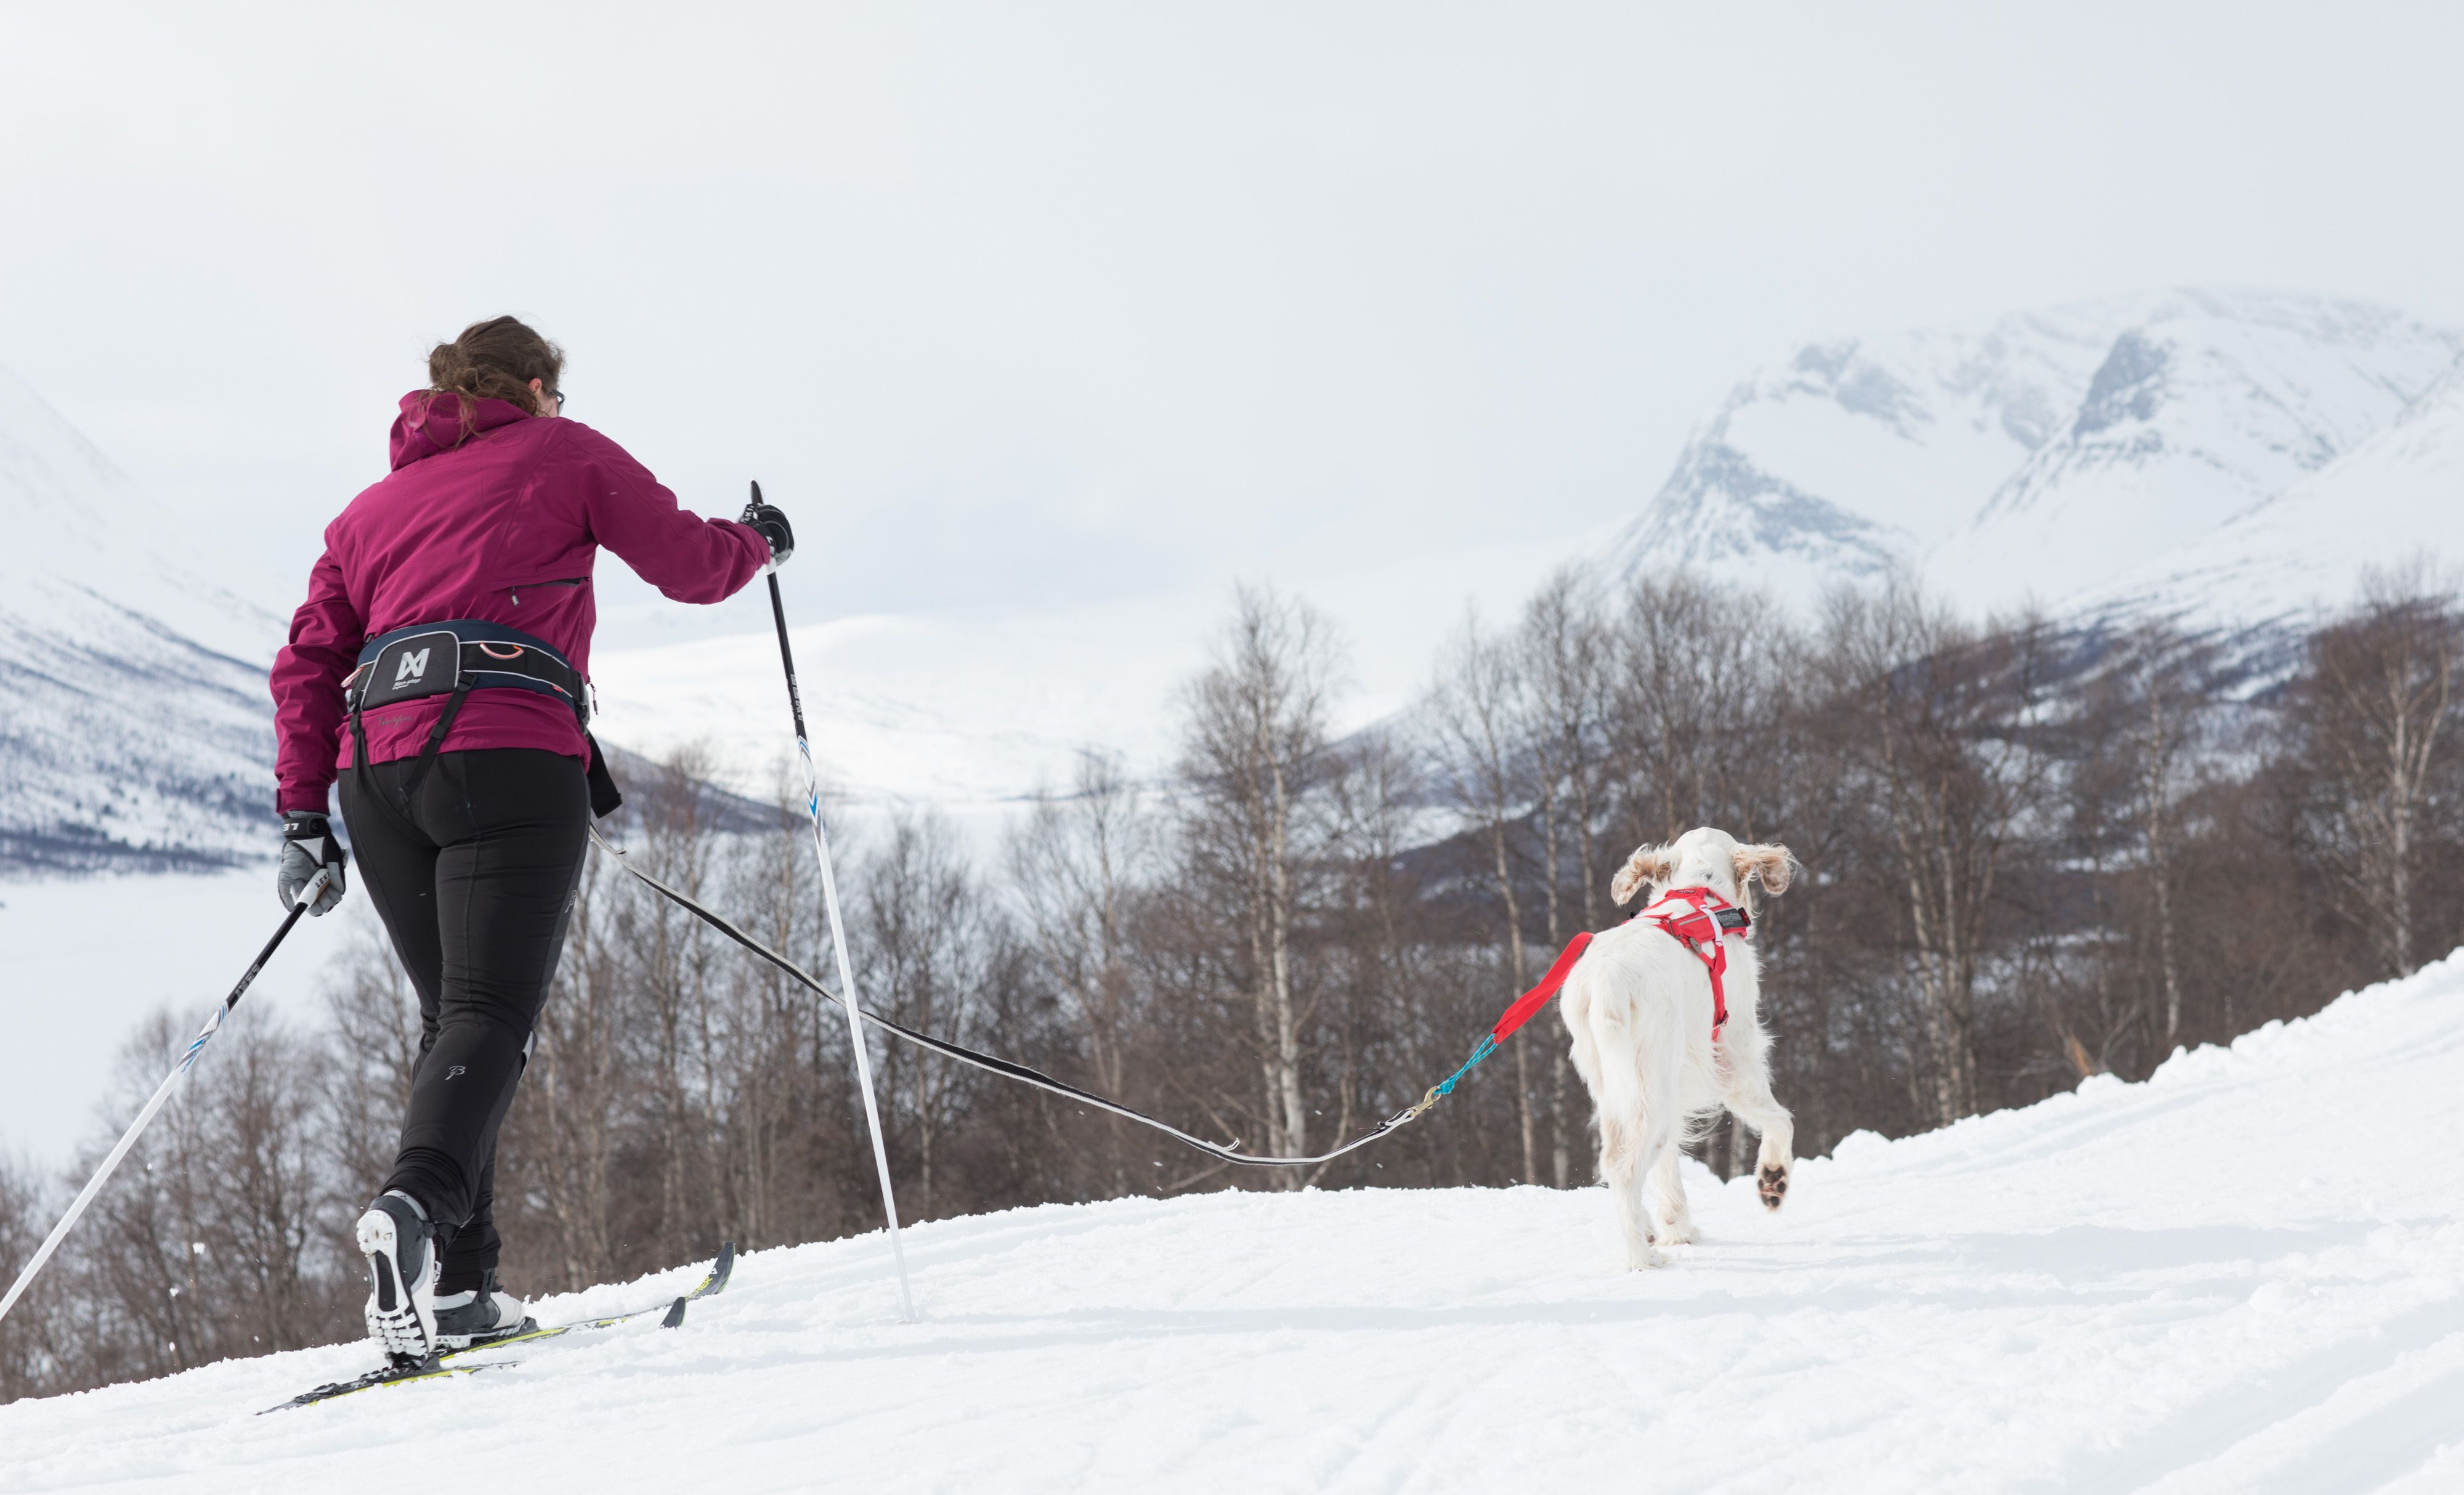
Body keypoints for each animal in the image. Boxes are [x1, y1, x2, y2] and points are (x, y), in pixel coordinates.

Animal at [1557, 822, 1794, 1271]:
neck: (1699, 891)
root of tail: (1607, 982)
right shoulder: (1732, 1056)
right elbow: (1780, 1119)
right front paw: (1774, 1177)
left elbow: (1668, 1168)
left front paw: (1677, 1228)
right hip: (1656, 1080)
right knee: (1626, 1169)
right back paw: (1642, 1258)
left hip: (1620, 1085)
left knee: (1615, 1161)